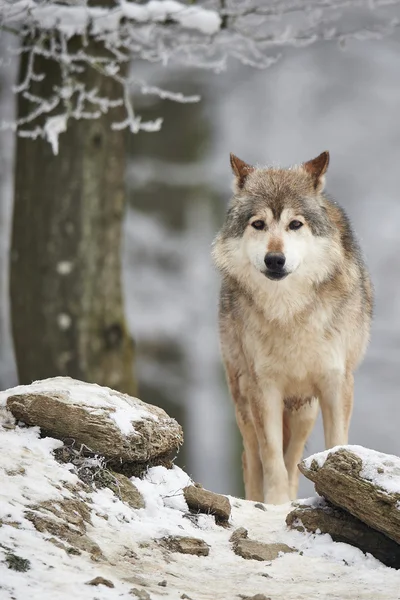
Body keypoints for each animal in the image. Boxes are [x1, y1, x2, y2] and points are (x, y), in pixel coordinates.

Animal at [212, 152, 372, 504]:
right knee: (252, 457)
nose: (275, 259)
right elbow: (271, 459)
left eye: (295, 224)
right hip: (243, 398)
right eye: (258, 224)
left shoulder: (336, 382)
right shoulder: (263, 388)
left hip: (304, 412)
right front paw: (275, 505)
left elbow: (335, 444)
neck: (289, 311)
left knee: (295, 458)